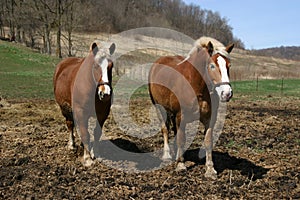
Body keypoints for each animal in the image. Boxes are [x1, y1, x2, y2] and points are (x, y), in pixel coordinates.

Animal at [148, 36, 234, 179]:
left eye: (229, 66)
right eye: (212, 66)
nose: (226, 93)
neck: (196, 86)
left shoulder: (210, 119)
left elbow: (208, 141)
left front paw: (210, 169)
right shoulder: (180, 117)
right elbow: (181, 139)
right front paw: (180, 165)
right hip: (159, 107)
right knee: (165, 129)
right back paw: (167, 155)